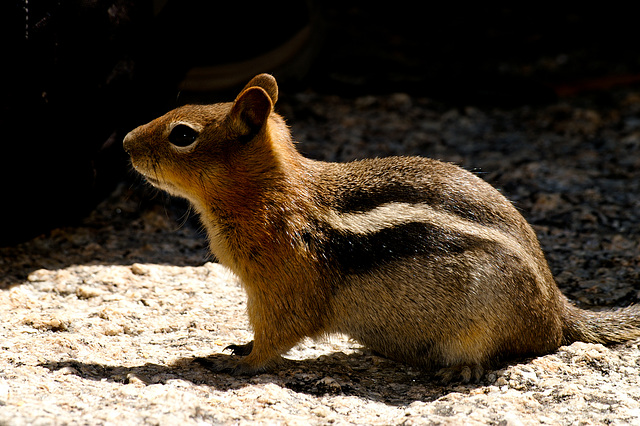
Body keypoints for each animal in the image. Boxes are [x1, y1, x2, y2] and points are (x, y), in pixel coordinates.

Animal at [124, 73, 640, 382]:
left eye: (183, 135)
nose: (126, 142)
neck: (273, 193)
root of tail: (557, 308)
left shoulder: (281, 287)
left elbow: (276, 336)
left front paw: (239, 363)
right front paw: (239, 348)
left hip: (487, 317)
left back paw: (461, 370)